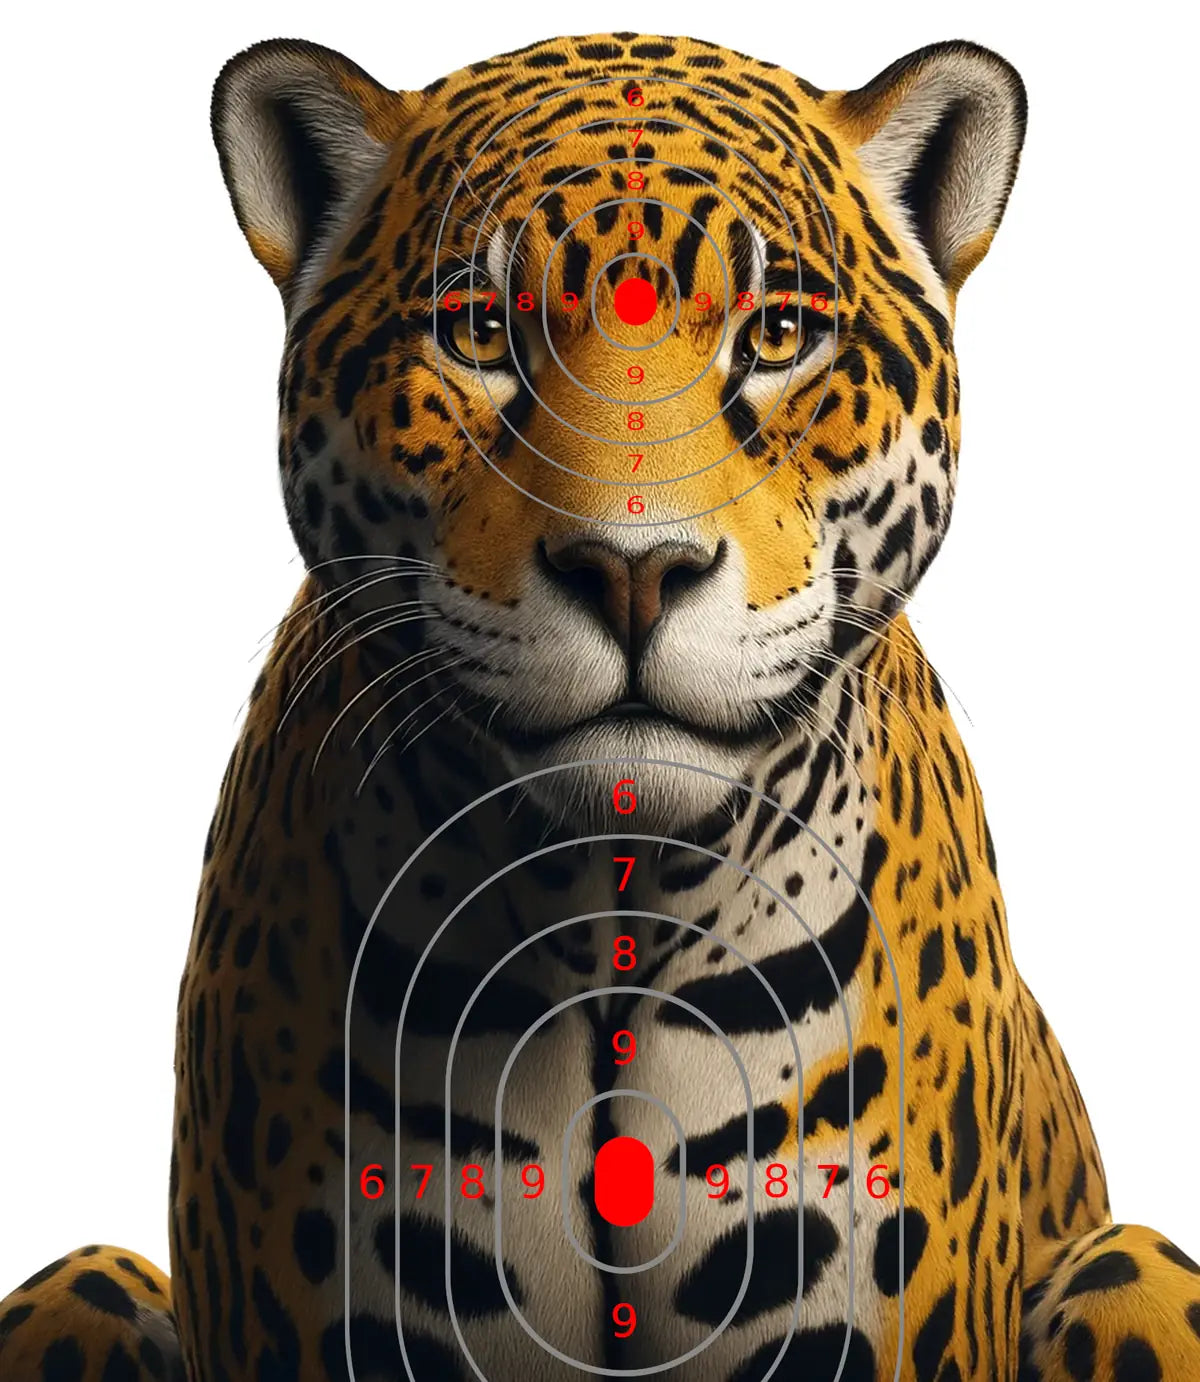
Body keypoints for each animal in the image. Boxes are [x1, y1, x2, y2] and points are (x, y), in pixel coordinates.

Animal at [3, 30, 1199, 1382]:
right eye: (480, 331)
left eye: (777, 332)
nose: (633, 570)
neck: (609, 922)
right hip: (74, 1289)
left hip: (1134, 1267)